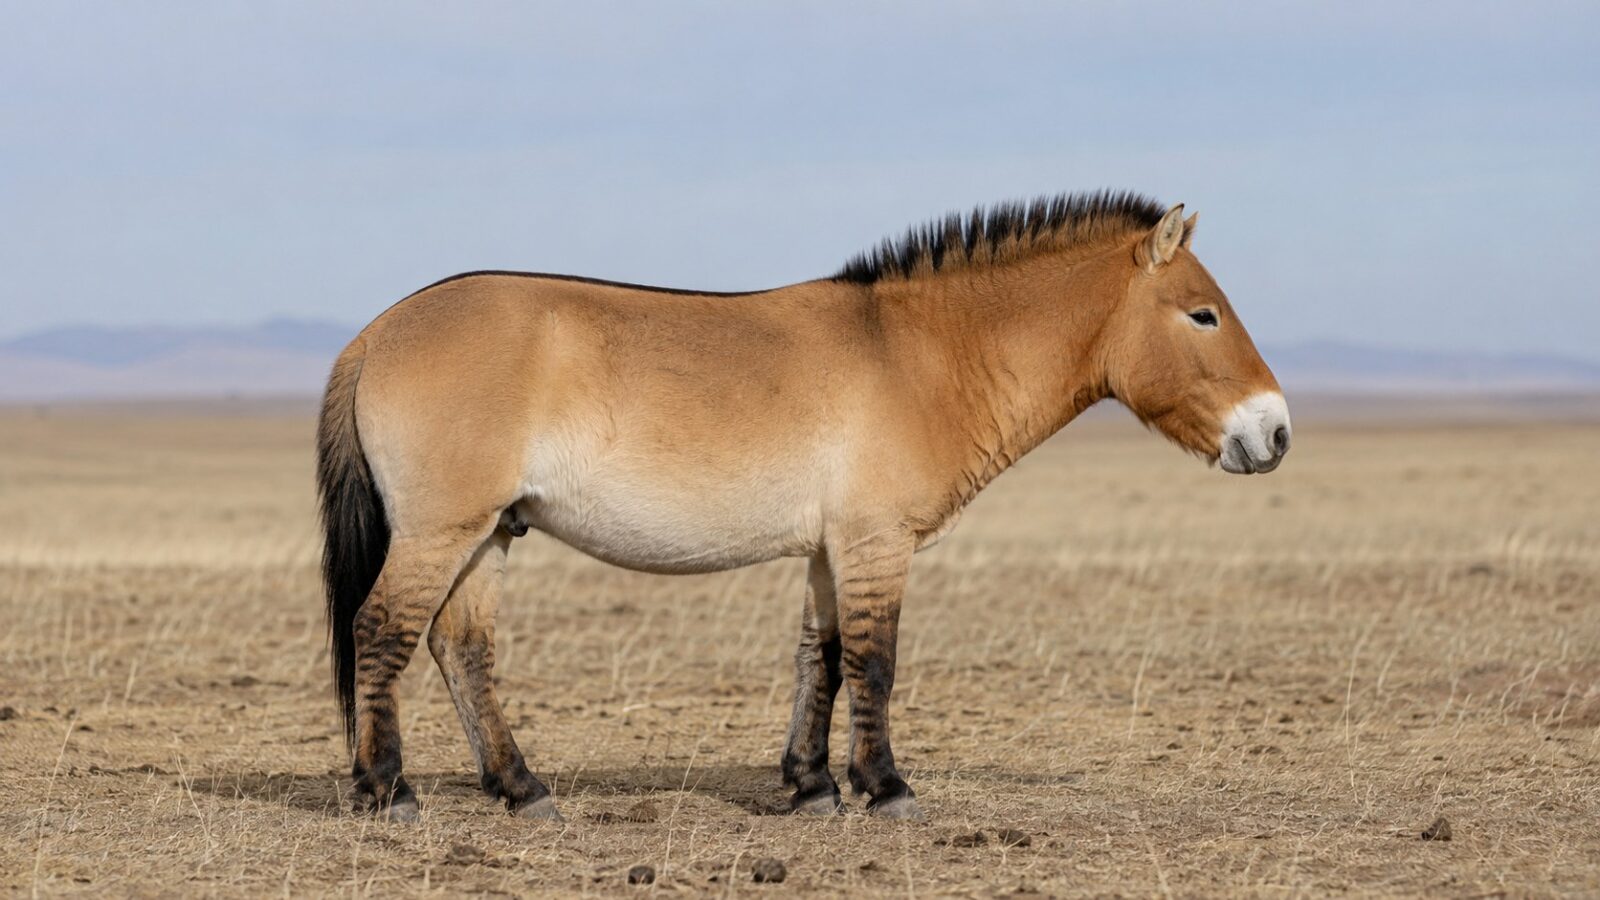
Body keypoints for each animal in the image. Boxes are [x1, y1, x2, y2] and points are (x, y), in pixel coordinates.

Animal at [316, 191, 1291, 823]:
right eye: (1203, 315)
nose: (1275, 432)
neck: (919, 354)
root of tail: (375, 332)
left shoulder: (831, 548)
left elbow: (818, 659)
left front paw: (812, 786)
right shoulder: (876, 543)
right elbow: (874, 662)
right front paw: (887, 789)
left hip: (489, 532)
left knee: (460, 647)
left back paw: (521, 790)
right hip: (443, 530)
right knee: (383, 630)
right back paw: (388, 792)